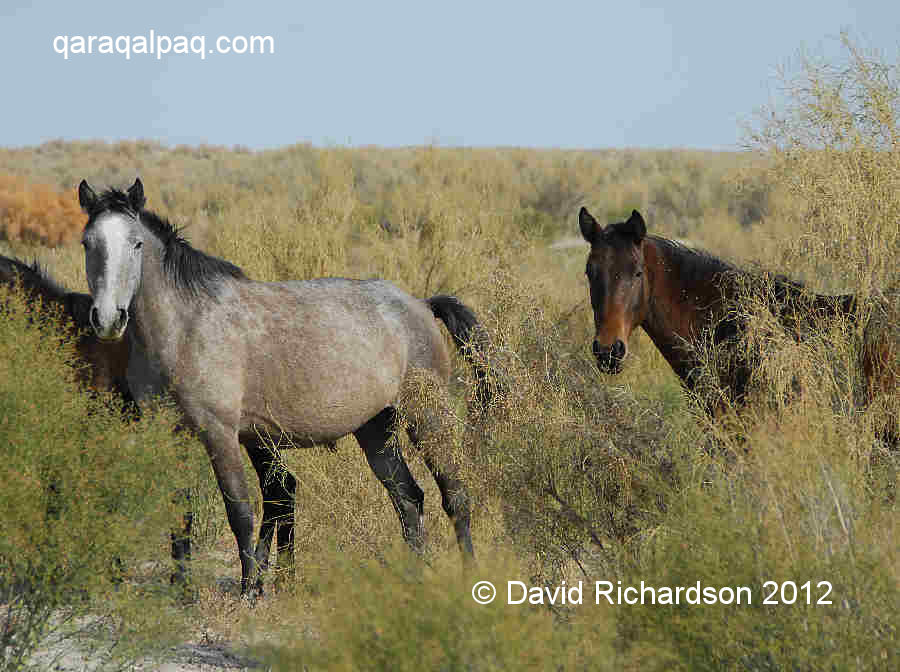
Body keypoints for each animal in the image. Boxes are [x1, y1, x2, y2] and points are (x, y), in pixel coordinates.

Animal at [78, 177, 496, 592]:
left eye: (136, 243)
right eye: (87, 243)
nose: (108, 319)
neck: (184, 327)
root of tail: (421, 305)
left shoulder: (220, 434)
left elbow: (240, 512)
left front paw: (249, 589)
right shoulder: (171, 433)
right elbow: (180, 511)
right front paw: (183, 588)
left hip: (428, 416)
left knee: (454, 495)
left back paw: (469, 576)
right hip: (376, 430)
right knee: (408, 498)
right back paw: (413, 579)